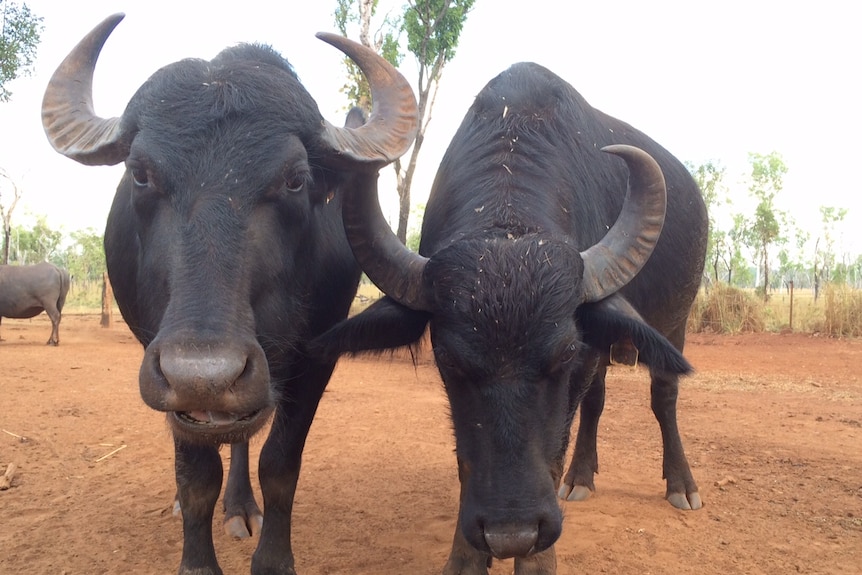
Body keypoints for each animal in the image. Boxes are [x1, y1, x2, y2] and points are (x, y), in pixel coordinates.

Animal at [40, 13, 418, 575]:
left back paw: (241, 507)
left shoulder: (316, 358)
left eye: (295, 179)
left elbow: (280, 464)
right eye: (140, 173)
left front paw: (274, 559)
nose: (205, 374)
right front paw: (197, 555)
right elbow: (196, 478)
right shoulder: (172, 382)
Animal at [318, 63, 708, 575]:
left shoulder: (581, 358)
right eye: (449, 359)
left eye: (563, 354)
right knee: (598, 401)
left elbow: (555, 446)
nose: (512, 535)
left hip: (676, 323)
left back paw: (681, 485)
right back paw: (582, 477)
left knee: (663, 397)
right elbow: (467, 460)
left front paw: (537, 561)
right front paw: (466, 557)